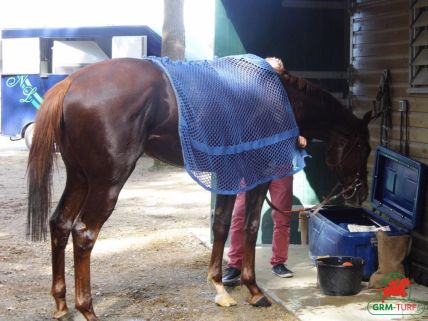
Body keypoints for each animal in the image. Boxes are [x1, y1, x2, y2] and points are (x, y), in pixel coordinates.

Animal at [26, 56, 372, 318]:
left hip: (80, 178)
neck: (279, 100)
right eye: (364, 149)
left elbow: (221, 225)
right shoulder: (257, 175)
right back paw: (87, 309)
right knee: (84, 233)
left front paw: (219, 286)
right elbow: (248, 227)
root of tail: (71, 83)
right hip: (106, 183)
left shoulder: (227, 175)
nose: (359, 193)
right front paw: (253, 290)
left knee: (60, 224)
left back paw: (61, 304)